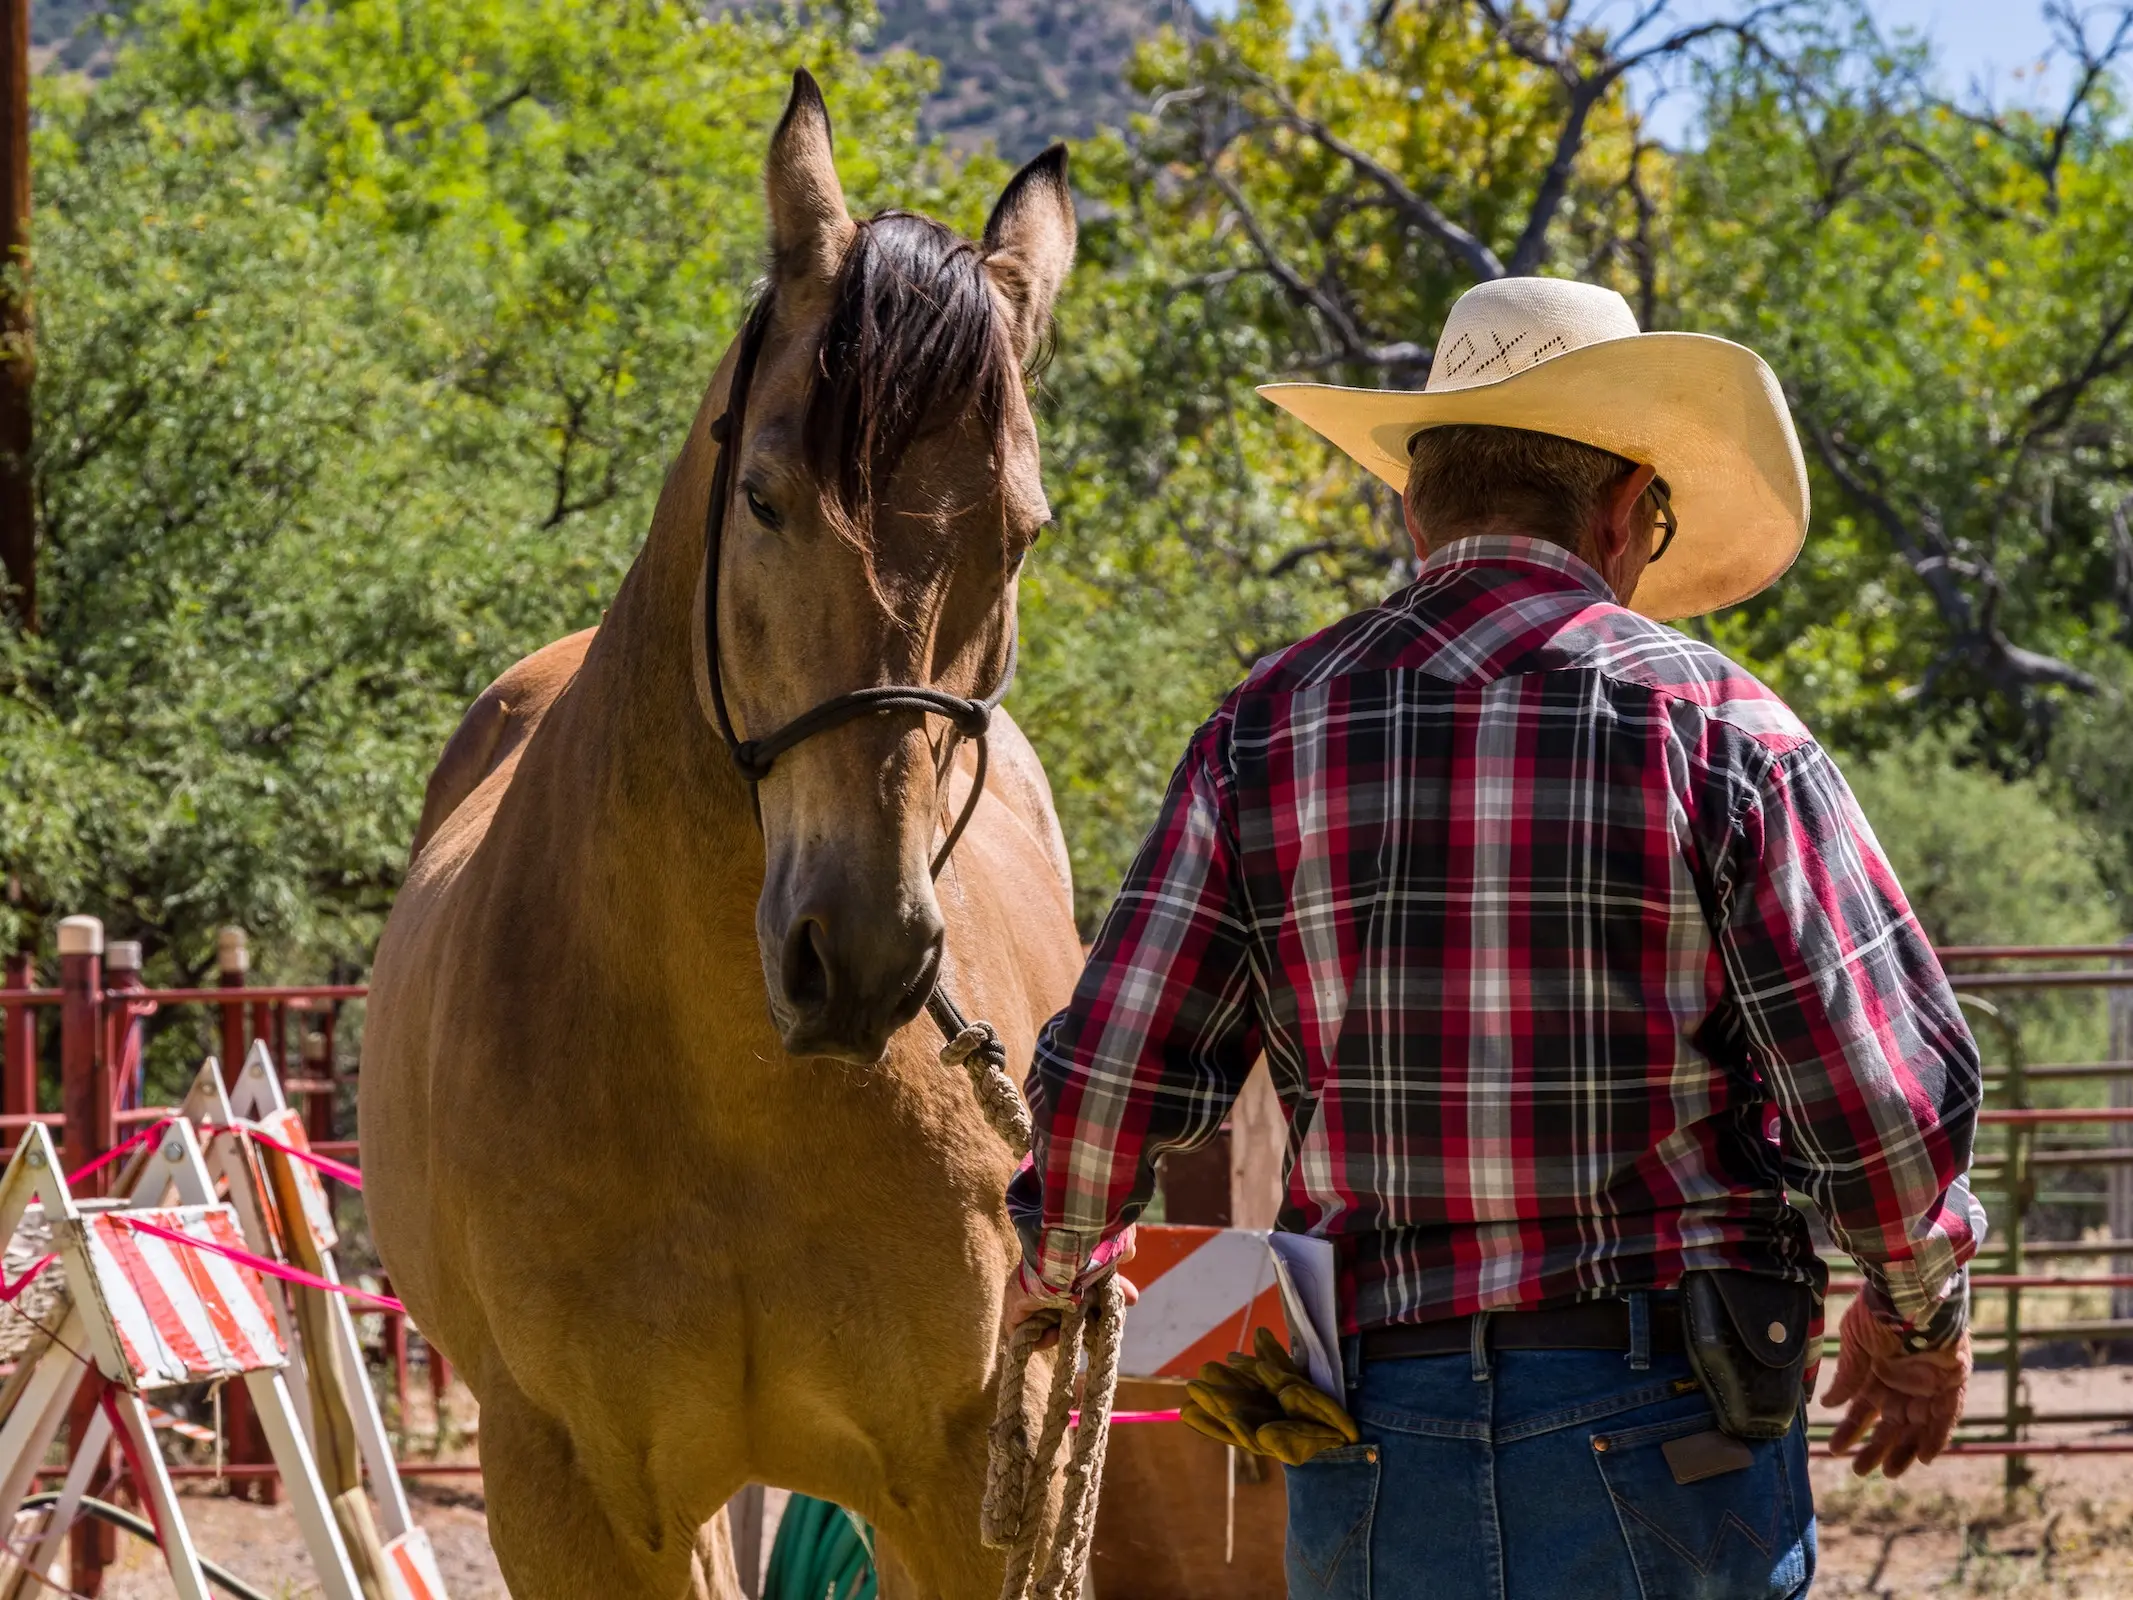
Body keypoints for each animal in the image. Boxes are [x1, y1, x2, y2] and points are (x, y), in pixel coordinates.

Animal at [362, 75, 1083, 1600]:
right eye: (764, 496)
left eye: (1021, 535)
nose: (859, 954)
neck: (729, 1093)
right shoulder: (573, 1500)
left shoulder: (964, 1489)